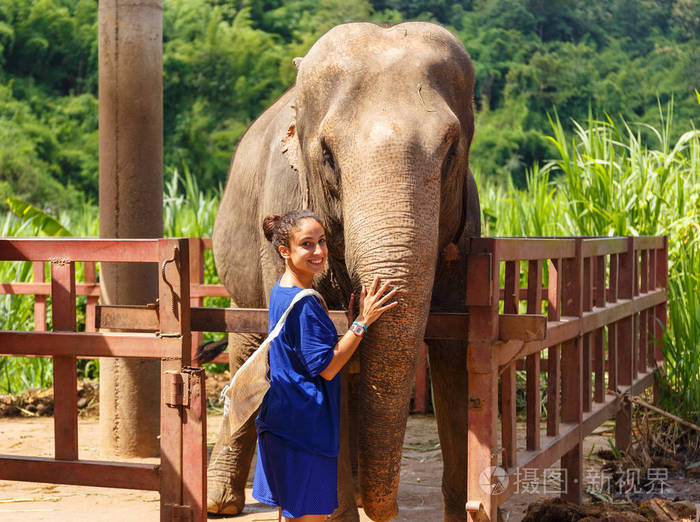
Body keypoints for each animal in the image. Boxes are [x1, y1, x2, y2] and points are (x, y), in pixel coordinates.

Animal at [208, 20, 482, 520]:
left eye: (452, 149)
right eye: (328, 156)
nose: (368, 293)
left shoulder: (466, 235)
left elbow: (456, 358)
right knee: (247, 342)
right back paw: (221, 502)